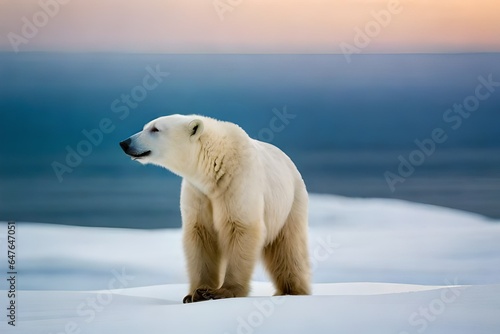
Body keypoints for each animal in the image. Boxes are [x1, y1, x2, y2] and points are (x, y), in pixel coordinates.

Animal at [119, 115, 310, 302]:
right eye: (146, 127)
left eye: (155, 129)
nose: (125, 143)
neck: (215, 166)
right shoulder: (198, 192)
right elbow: (200, 235)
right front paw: (196, 293)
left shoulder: (237, 183)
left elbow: (241, 229)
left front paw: (223, 291)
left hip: (291, 203)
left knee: (288, 247)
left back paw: (292, 290)